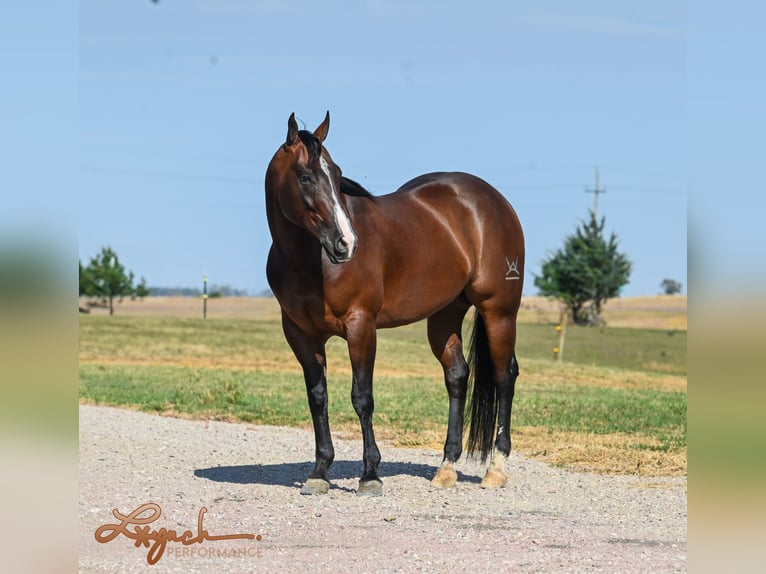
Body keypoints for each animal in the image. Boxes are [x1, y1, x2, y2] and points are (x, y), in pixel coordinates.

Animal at [268, 111, 524, 496]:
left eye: (338, 174)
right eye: (305, 176)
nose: (347, 243)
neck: (310, 261)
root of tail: (492, 200)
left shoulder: (361, 326)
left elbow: (362, 397)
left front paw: (370, 475)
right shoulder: (300, 334)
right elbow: (318, 398)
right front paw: (319, 472)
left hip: (499, 312)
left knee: (504, 376)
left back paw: (496, 470)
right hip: (444, 316)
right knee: (457, 376)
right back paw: (446, 467)